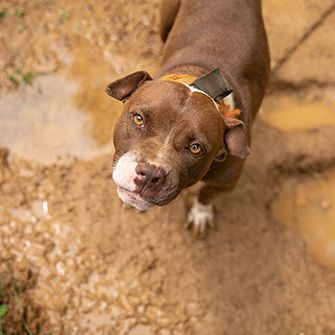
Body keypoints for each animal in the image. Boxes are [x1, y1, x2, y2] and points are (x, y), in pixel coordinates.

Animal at [106, 0, 272, 236]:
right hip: (166, 19)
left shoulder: (227, 182)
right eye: (138, 119)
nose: (150, 174)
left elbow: (207, 194)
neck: (199, 79)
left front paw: (200, 214)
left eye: (195, 148)